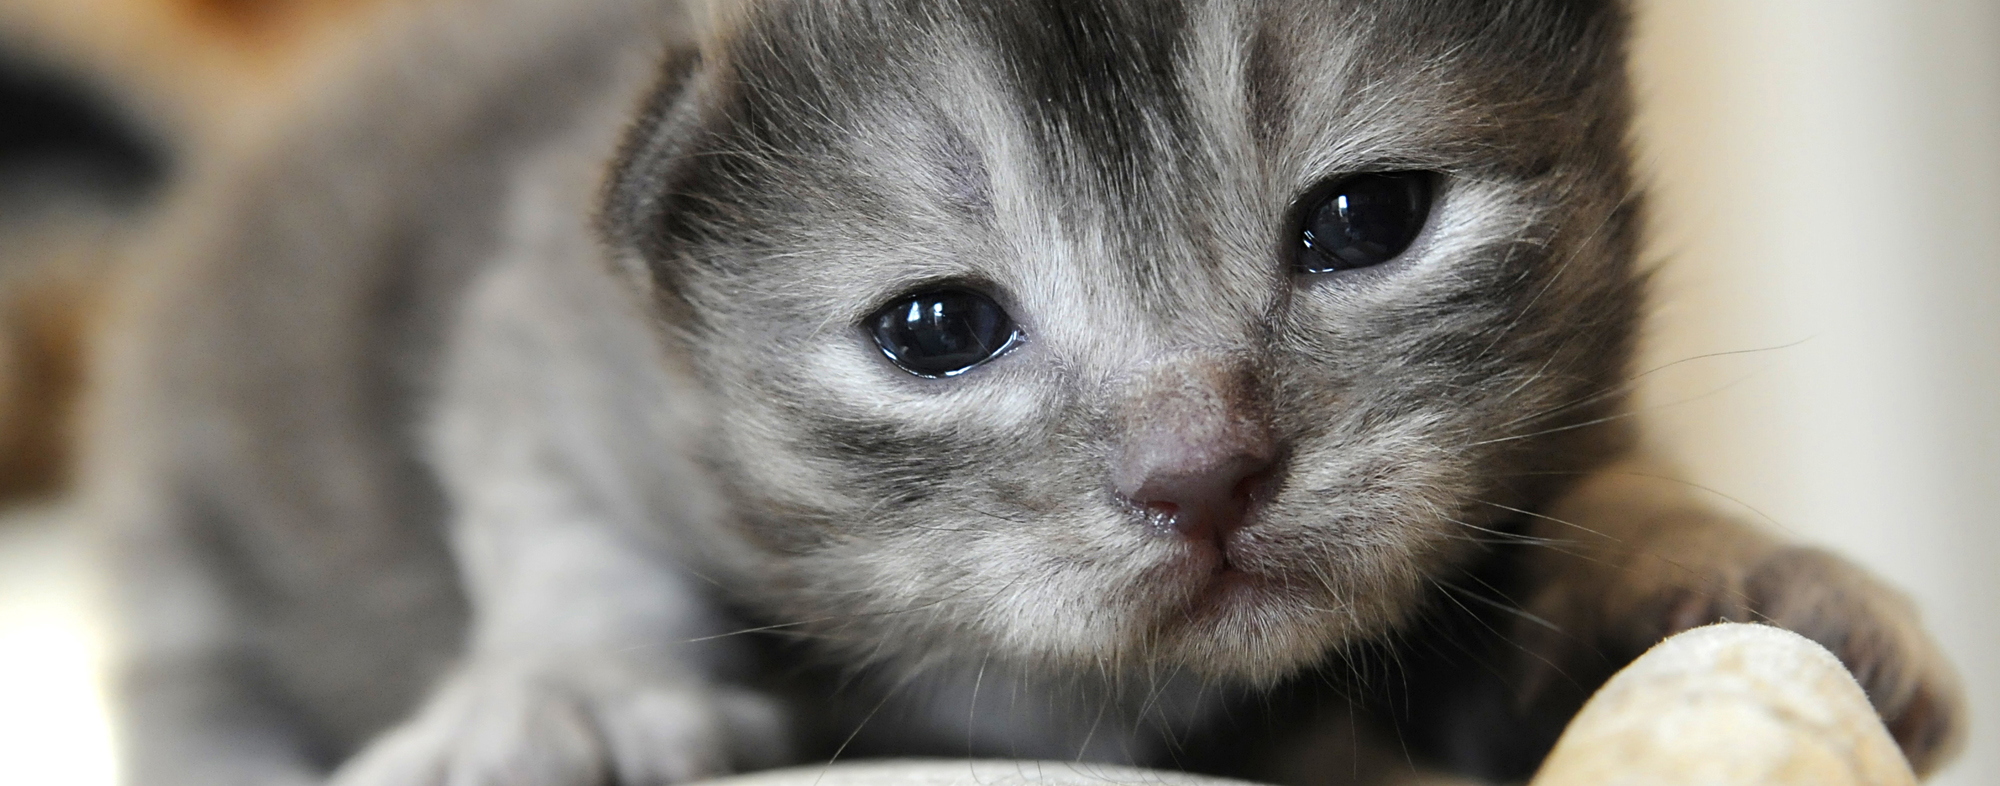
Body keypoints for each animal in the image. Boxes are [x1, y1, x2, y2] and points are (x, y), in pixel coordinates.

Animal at [82, 0, 1968, 780]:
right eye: (935, 329)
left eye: (1367, 220)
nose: (1204, 470)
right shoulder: (543, 332)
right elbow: (562, 523)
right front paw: (575, 693)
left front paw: (1727, 569)